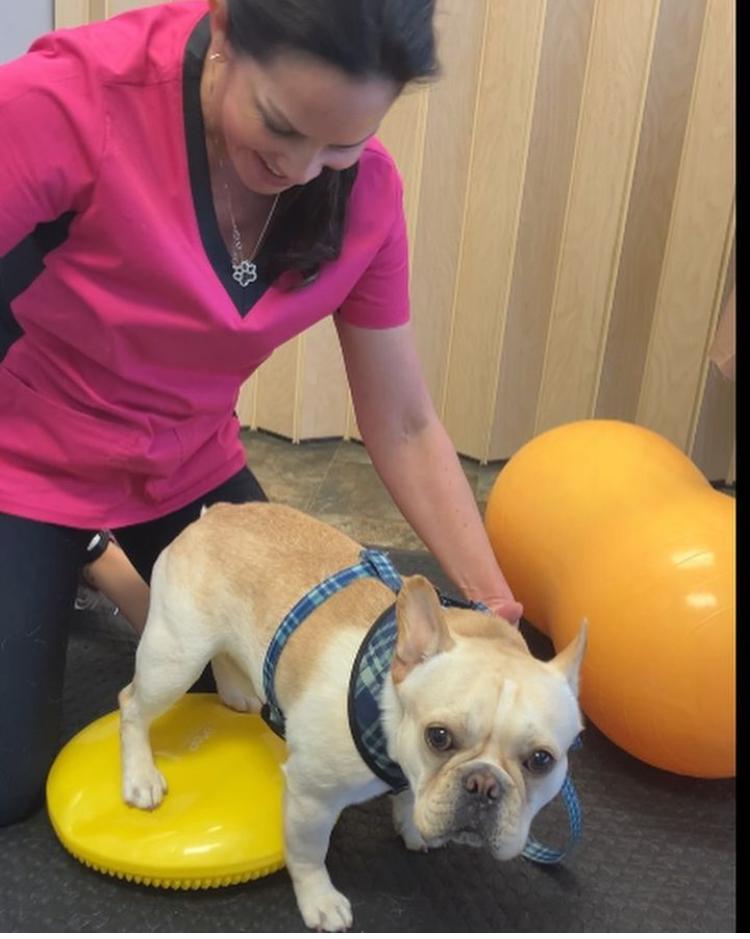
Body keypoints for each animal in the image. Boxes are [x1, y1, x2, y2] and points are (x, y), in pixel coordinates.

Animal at [119, 504, 588, 928]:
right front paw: (319, 901)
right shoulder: (312, 798)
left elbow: (409, 798)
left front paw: (412, 825)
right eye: (438, 737)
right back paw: (140, 775)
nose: (484, 784)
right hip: (174, 658)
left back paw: (238, 695)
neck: (388, 702)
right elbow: (309, 853)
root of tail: (214, 515)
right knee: (132, 705)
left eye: (542, 761)